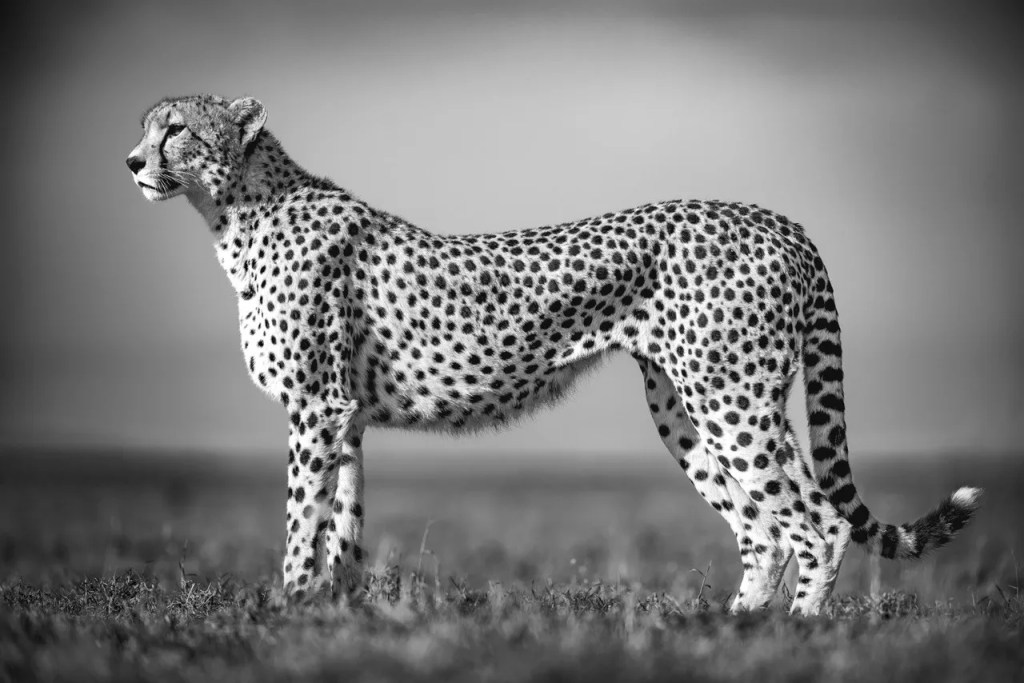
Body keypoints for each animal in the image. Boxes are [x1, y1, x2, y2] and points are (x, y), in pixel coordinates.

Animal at [126, 94, 981, 615]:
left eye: (177, 129)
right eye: (149, 126)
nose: (132, 161)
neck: (238, 209)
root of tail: (777, 216)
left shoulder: (315, 408)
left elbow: (302, 518)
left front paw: (290, 606)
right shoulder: (347, 416)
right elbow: (345, 521)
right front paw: (339, 609)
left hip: (733, 399)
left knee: (818, 522)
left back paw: (798, 634)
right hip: (687, 409)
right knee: (765, 530)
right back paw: (730, 629)